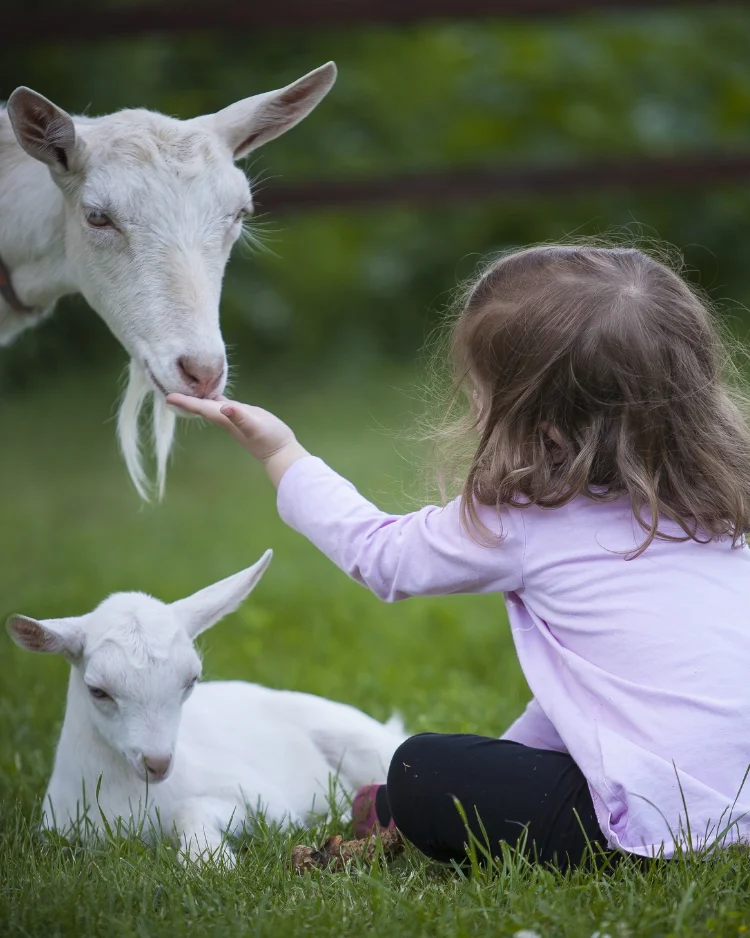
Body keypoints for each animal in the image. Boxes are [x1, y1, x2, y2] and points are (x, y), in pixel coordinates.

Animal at [5, 548, 408, 864]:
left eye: (190, 680)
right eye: (98, 690)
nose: (157, 763)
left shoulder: (267, 802)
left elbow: (194, 807)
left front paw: (208, 860)